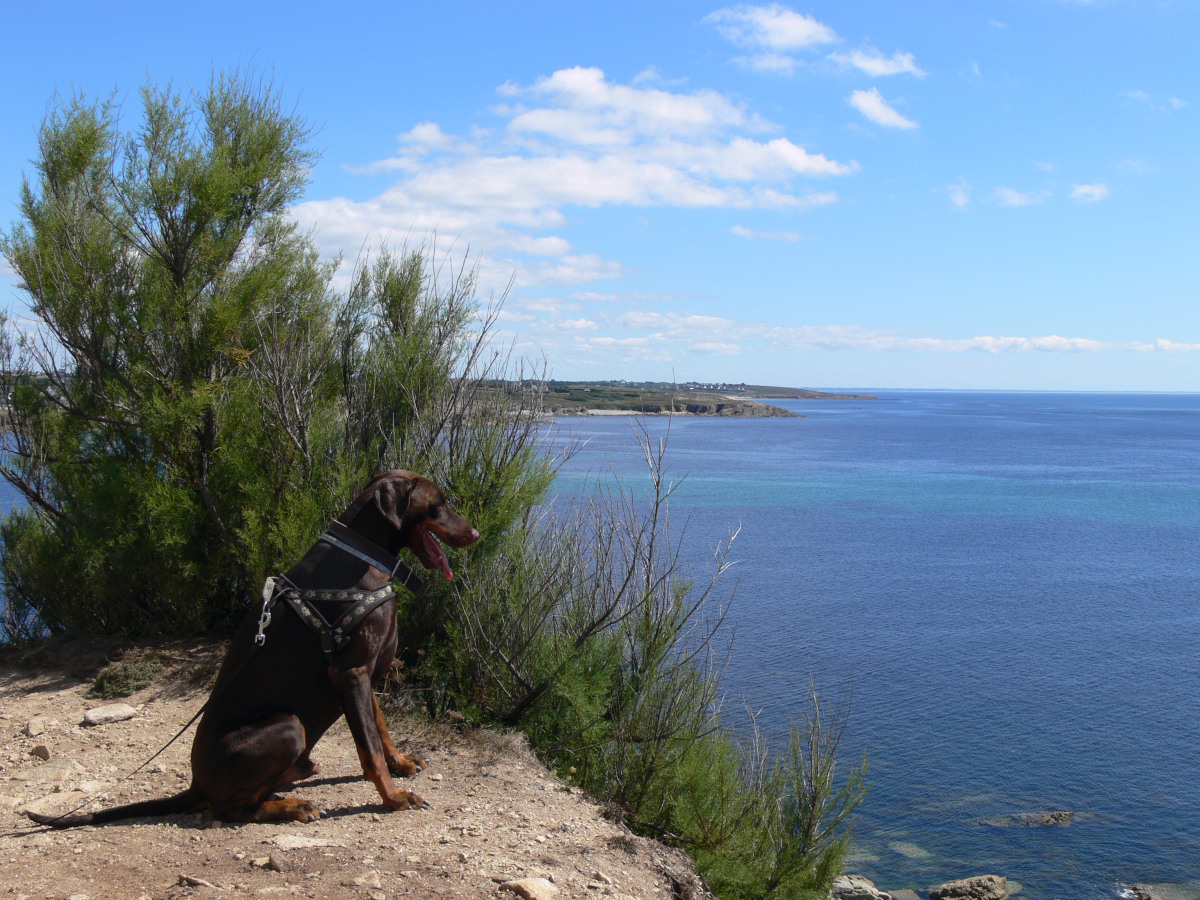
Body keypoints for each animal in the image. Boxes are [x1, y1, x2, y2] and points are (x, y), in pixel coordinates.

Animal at [29, 468, 477, 830]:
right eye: (439, 503)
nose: (474, 534)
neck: (362, 556)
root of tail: (196, 784)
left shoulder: (362, 674)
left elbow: (379, 728)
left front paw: (401, 763)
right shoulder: (350, 671)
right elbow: (368, 749)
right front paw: (393, 797)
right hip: (288, 726)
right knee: (230, 809)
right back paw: (291, 807)